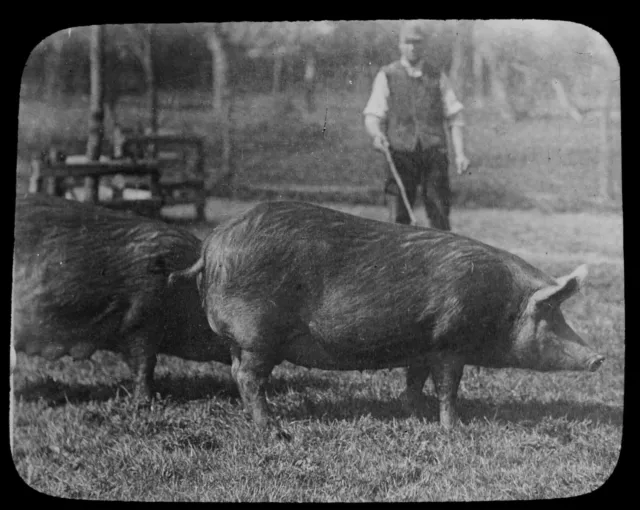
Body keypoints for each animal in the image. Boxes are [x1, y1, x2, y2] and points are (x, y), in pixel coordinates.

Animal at [170, 201, 604, 432]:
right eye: (550, 312)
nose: (600, 357)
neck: (500, 303)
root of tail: (211, 245)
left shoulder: (423, 344)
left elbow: (414, 384)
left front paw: (417, 415)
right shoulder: (450, 343)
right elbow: (449, 388)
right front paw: (454, 428)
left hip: (242, 340)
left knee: (236, 372)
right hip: (258, 335)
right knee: (248, 377)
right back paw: (274, 431)